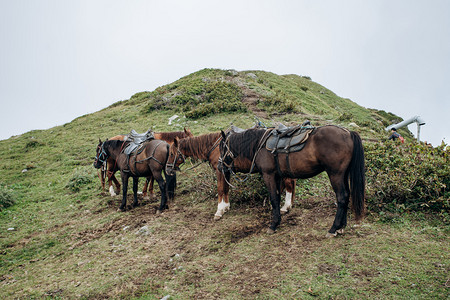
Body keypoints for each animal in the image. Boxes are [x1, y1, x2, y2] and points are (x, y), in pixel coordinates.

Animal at [165, 131, 298, 220]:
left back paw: (285, 206)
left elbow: (220, 189)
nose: (167, 169)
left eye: (171, 153)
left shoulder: (220, 171)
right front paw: (226, 206)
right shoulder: (226, 171)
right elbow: (226, 188)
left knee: (289, 183)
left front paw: (219, 211)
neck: (215, 147)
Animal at [219, 125, 366, 236]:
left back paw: (333, 228)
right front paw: (278, 220)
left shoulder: (268, 175)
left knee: (342, 197)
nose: (220, 166)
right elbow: (277, 197)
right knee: (347, 195)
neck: (259, 145)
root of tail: (348, 133)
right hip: (343, 174)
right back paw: (341, 227)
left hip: (335, 174)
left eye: (222, 148)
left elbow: (274, 199)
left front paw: (273, 225)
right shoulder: (278, 176)